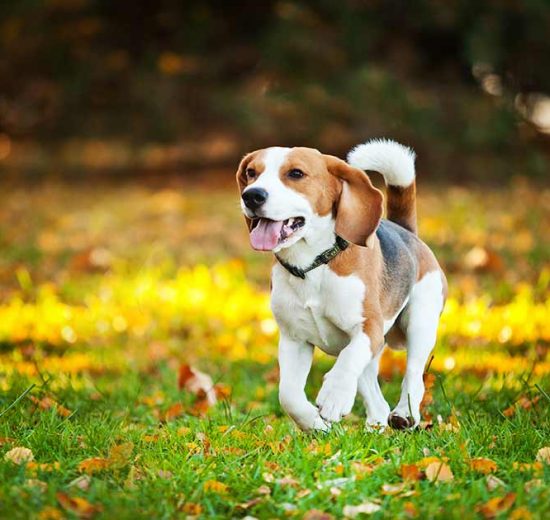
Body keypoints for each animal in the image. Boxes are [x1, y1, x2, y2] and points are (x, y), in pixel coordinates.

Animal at [237, 139, 448, 430]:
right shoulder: (294, 339)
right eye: (251, 173)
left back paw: (404, 414)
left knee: (413, 375)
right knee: (376, 398)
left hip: (420, 324)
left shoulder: (368, 328)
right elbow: (288, 395)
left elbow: (349, 360)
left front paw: (334, 397)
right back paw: (374, 427)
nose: (251, 195)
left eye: (296, 174)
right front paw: (316, 425)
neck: (313, 265)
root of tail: (406, 232)